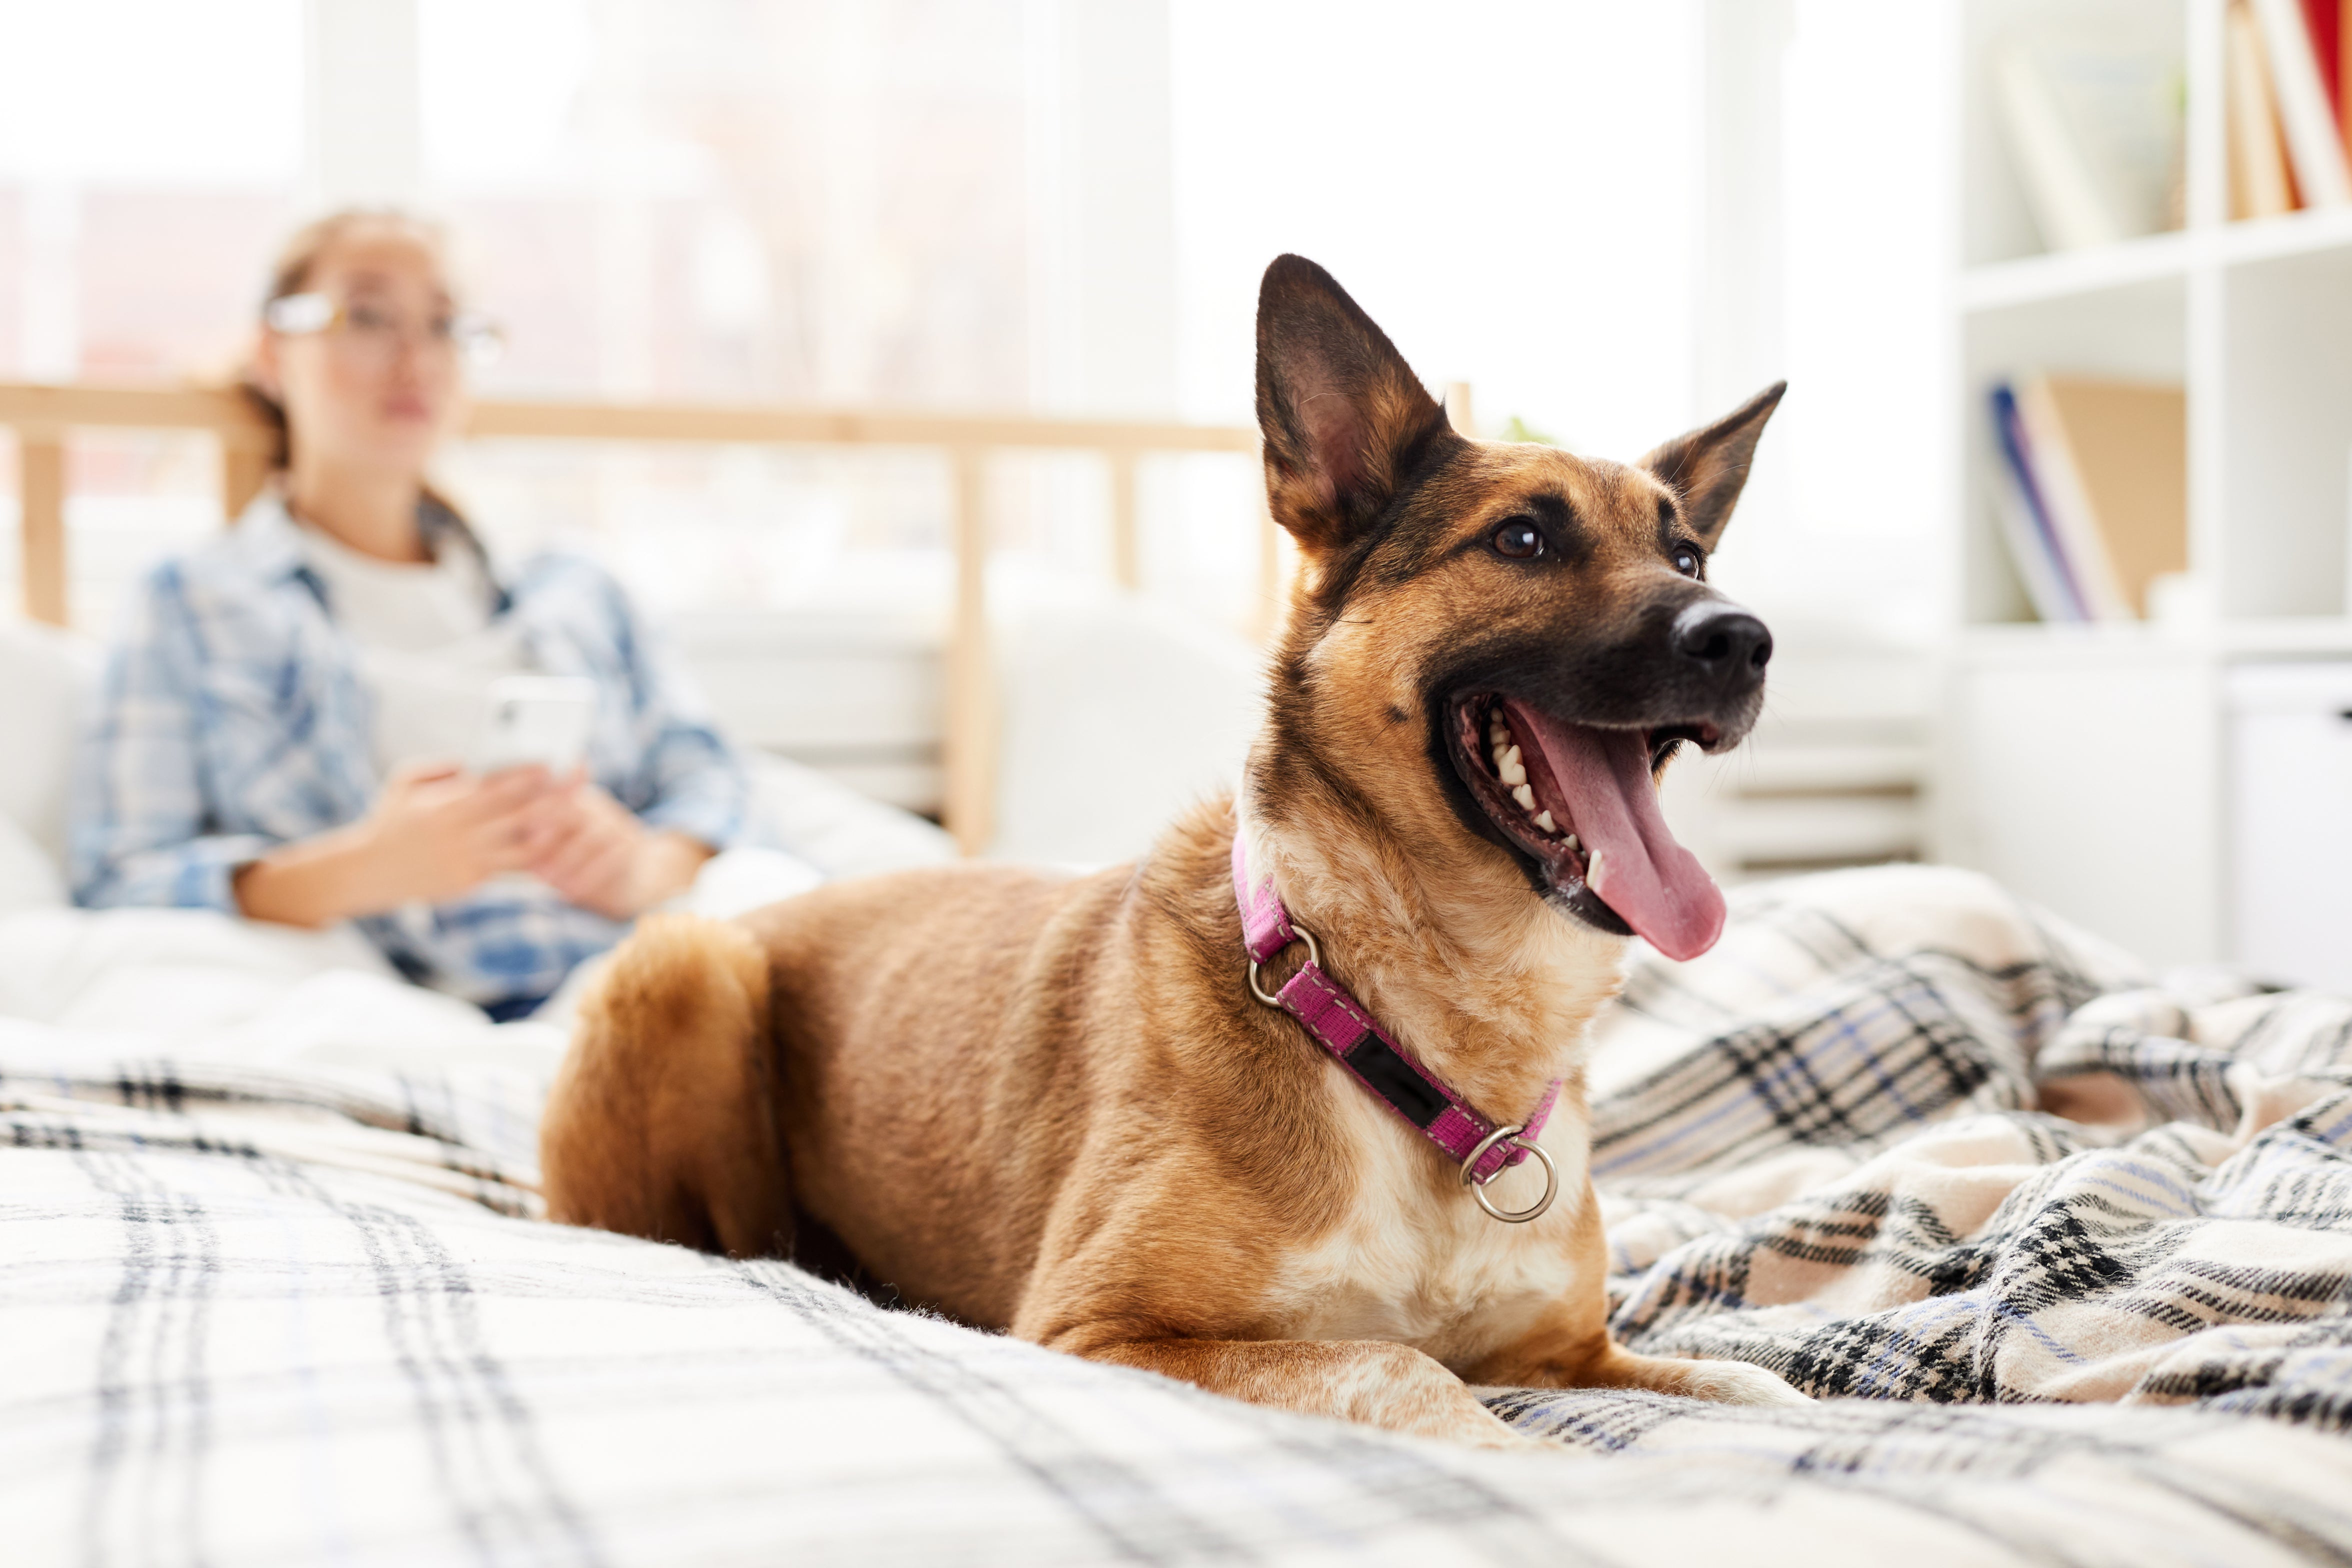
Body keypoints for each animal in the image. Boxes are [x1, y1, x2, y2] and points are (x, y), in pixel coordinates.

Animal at [546, 255, 1796, 1448]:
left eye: (1690, 557)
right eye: (1524, 539)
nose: (1747, 639)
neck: (1417, 1042)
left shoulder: (1570, 1351)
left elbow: (1753, 1382)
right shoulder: (1097, 1329)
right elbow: (1400, 1364)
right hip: (687, 965)